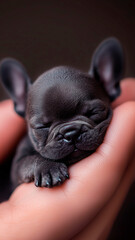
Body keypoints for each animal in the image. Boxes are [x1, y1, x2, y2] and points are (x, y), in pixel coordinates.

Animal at [0, 37, 124, 188]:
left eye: (94, 112)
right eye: (42, 126)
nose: (71, 133)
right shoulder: (17, 165)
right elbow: (29, 160)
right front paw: (48, 168)